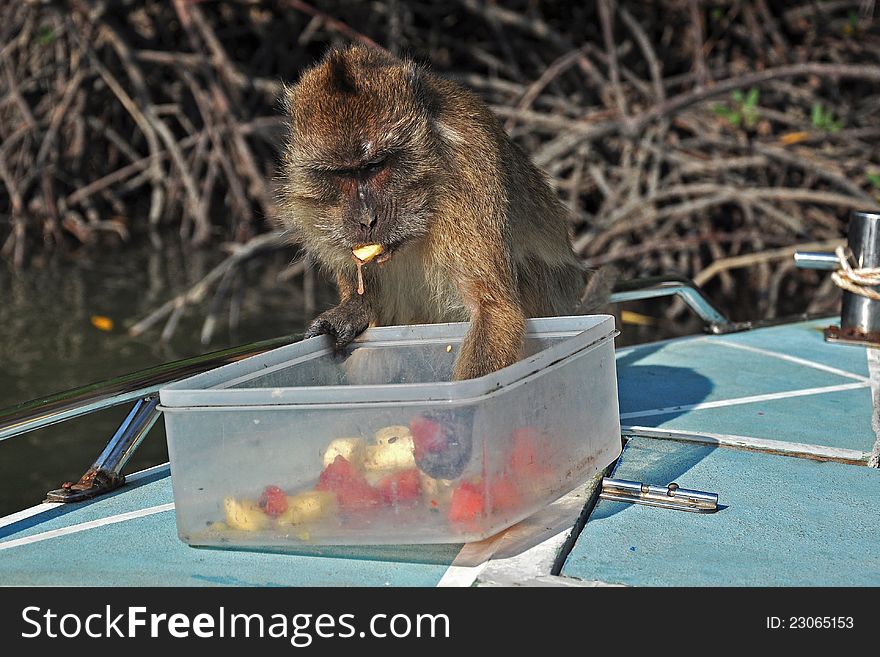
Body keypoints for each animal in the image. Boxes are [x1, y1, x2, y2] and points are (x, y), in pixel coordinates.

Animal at [278, 44, 588, 380]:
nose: (366, 219)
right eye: (342, 174)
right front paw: (352, 311)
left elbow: (495, 310)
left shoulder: (470, 168)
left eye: (375, 166)